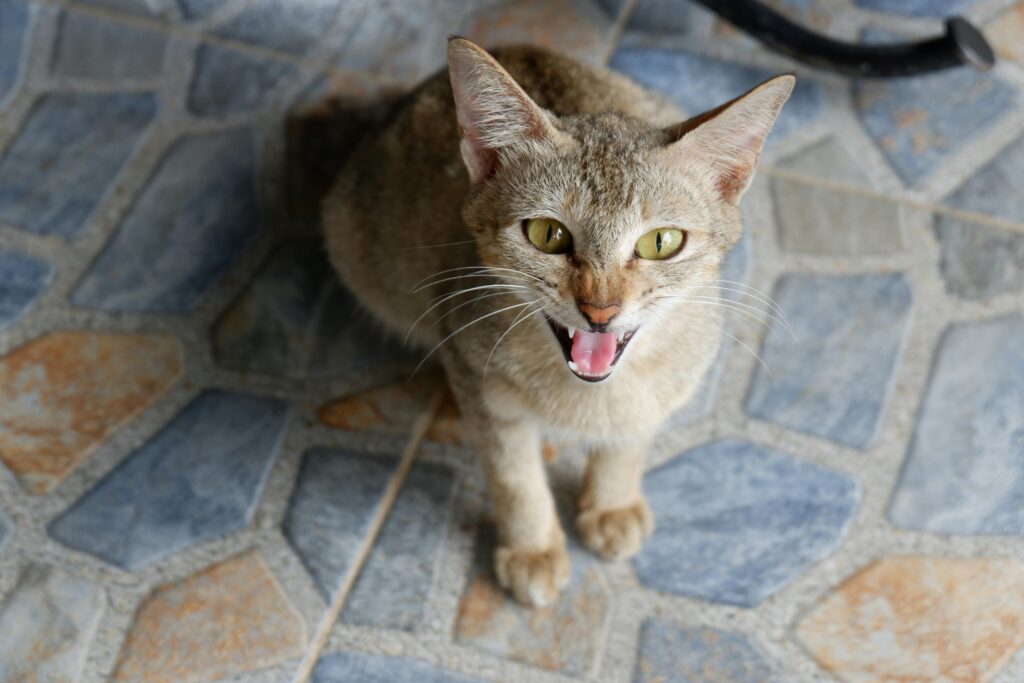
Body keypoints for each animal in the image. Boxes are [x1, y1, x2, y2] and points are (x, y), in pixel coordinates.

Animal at [323, 37, 794, 606]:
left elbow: (630, 440)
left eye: (661, 242)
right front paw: (532, 549)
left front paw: (611, 503)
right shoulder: (484, 392)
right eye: (547, 234)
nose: (600, 309)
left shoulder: (664, 387)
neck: (590, 397)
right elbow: (514, 476)